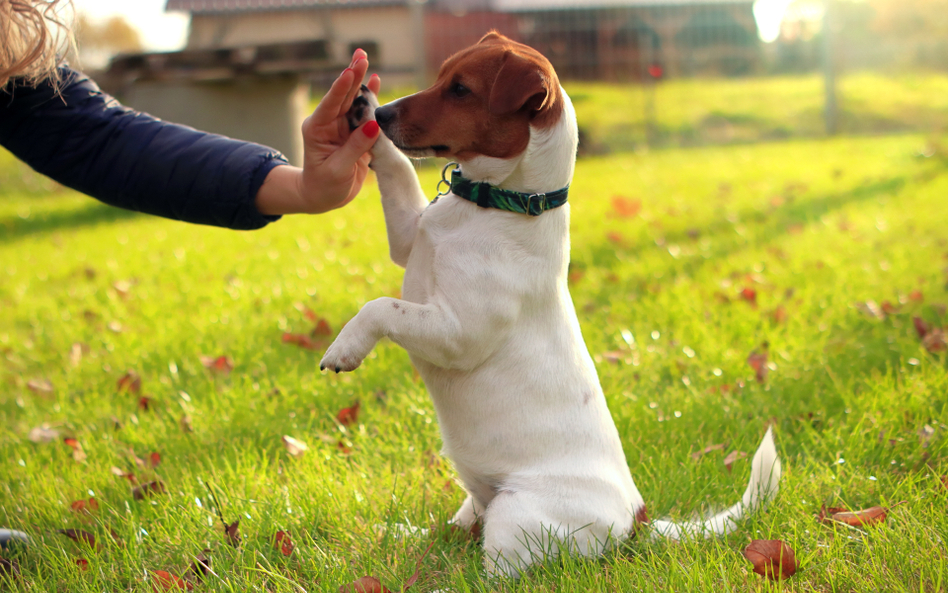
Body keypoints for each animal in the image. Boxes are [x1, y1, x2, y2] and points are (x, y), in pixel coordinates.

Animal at [322, 33, 780, 580]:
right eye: (441, 77)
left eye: (461, 89)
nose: (381, 111)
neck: (494, 204)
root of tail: (638, 518)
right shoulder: (409, 237)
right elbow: (395, 171)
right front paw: (364, 115)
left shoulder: (458, 334)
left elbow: (383, 307)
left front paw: (345, 347)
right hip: (476, 504)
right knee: (452, 534)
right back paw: (398, 535)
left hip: (514, 514)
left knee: (493, 574)